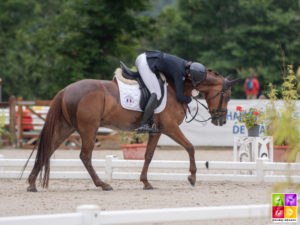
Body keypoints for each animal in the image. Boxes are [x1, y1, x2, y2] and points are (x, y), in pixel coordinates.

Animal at [27, 68, 239, 192]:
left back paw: (31, 183)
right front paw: (192, 177)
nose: (220, 121)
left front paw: (146, 182)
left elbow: (148, 155)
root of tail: (66, 90)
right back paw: (103, 184)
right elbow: (190, 147)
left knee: (48, 149)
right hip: (89, 129)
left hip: (66, 127)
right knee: (85, 156)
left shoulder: (157, 131)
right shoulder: (170, 127)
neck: (176, 88)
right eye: (227, 95)